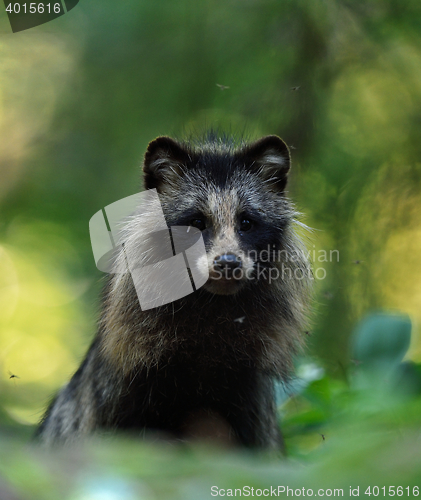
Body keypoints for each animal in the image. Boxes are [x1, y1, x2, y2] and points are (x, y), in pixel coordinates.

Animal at [37, 133, 312, 450]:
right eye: (196, 223)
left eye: (246, 223)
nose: (228, 263)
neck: (211, 306)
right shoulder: (123, 385)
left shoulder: (248, 393)